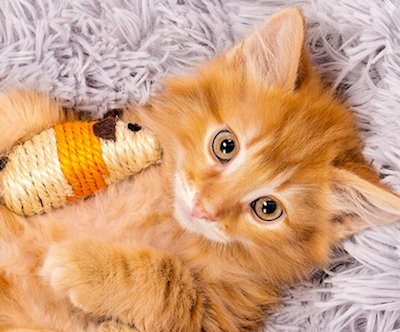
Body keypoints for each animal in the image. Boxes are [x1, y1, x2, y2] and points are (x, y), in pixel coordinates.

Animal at [0, 7, 400, 332]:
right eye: (226, 145)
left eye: (267, 208)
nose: (204, 207)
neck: (162, 208)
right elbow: (35, 108)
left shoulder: (221, 310)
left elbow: (172, 284)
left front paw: (81, 265)